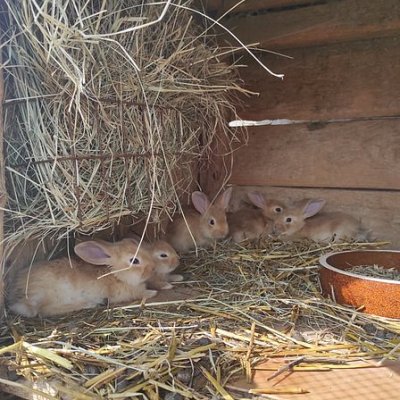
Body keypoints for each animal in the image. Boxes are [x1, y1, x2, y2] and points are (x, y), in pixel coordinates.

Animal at [8, 238, 158, 317]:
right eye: (134, 260)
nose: (153, 268)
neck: (116, 274)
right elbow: (141, 293)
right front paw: (152, 292)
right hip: (54, 292)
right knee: (44, 310)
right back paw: (88, 304)